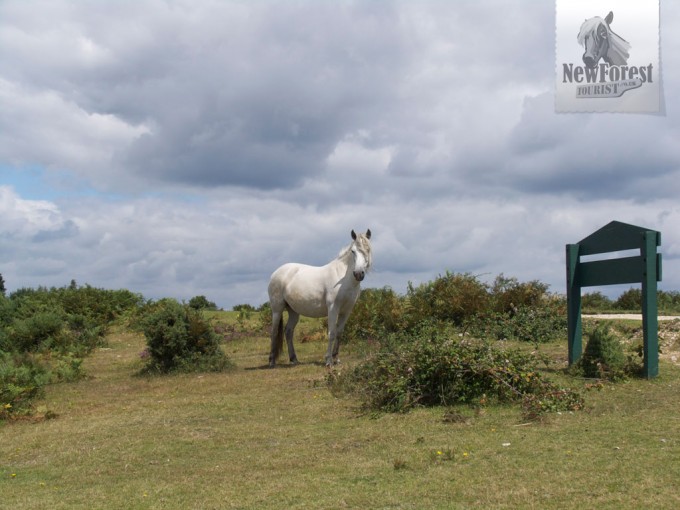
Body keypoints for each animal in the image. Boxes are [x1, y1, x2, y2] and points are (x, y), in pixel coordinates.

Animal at [268, 230, 372, 366]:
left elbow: (339, 333)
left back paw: (294, 359)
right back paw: (271, 361)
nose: (358, 274)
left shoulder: (347, 311)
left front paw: (336, 358)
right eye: (353, 251)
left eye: (368, 249)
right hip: (277, 309)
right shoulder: (333, 308)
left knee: (288, 332)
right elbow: (332, 333)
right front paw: (328, 361)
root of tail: (276, 273)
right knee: (274, 332)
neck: (342, 278)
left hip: (293, 311)